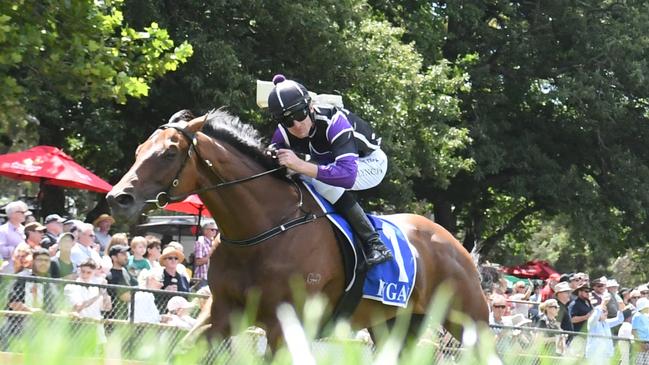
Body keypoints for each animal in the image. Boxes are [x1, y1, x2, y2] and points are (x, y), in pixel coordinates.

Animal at [107, 109, 486, 348]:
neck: (262, 231)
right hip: (393, 325)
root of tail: (456, 245)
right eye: (140, 150)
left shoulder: (283, 328)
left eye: (169, 153)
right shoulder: (221, 314)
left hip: (469, 320)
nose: (117, 198)